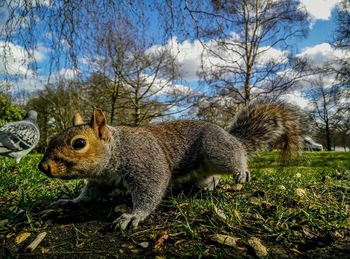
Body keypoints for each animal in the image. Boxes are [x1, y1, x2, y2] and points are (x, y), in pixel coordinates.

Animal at [37, 102, 300, 231]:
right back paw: (208, 185)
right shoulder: (100, 181)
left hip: (216, 149)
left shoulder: (146, 163)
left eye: (79, 143)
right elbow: (88, 195)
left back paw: (240, 171)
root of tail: (229, 135)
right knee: (209, 177)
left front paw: (133, 215)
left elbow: (151, 189)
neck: (116, 151)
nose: (43, 167)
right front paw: (70, 202)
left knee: (235, 155)